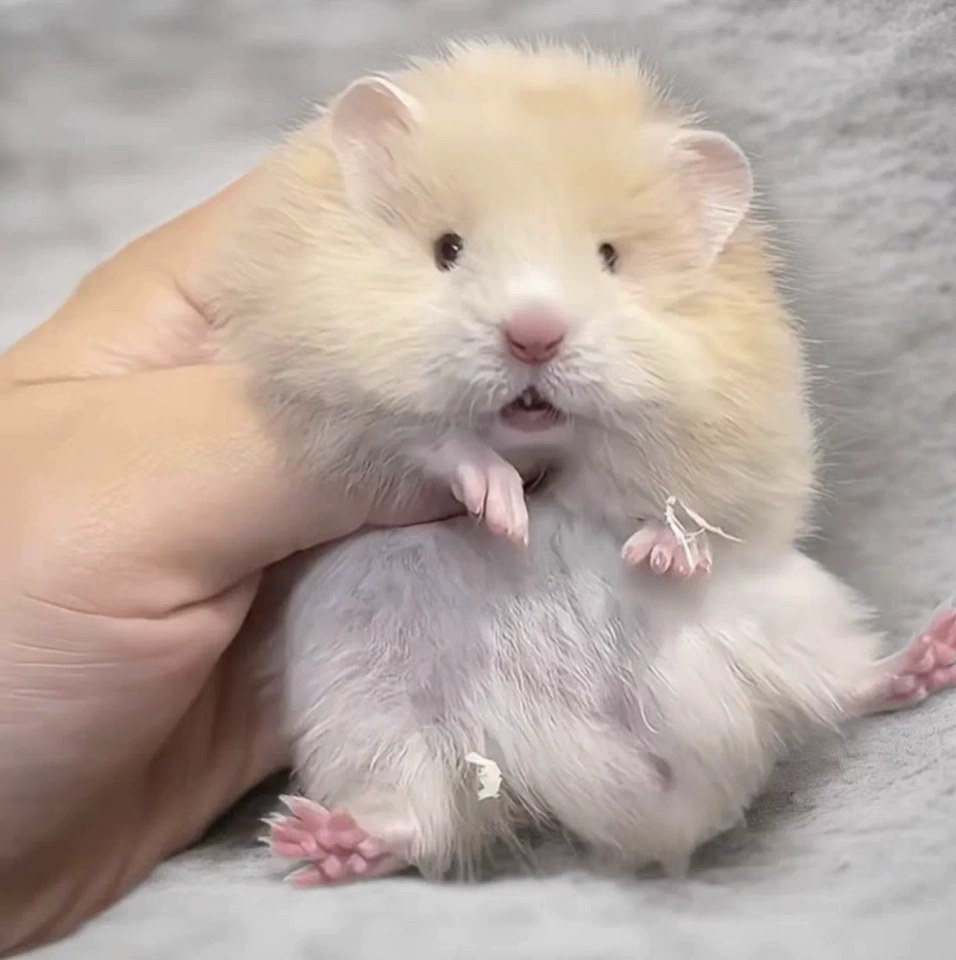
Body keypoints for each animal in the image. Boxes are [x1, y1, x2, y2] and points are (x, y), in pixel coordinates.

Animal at [212, 40, 956, 885]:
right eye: (447, 250)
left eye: (609, 258)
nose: (534, 334)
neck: (545, 443)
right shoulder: (324, 388)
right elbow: (433, 438)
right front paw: (501, 510)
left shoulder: (743, 428)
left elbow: (678, 491)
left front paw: (656, 550)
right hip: (361, 701)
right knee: (419, 818)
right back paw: (322, 842)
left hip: (786, 609)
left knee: (842, 688)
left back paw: (931, 653)